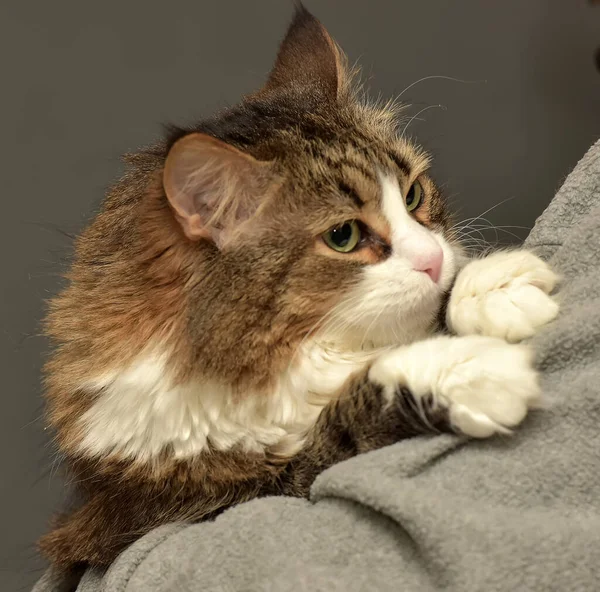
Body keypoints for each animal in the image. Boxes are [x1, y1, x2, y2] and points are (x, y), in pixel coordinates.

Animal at [39, 2, 560, 572]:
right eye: (343, 236)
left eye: (413, 196)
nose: (434, 260)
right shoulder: (187, 507)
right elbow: (344, 423)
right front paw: (463, 369)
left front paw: (493, 286)